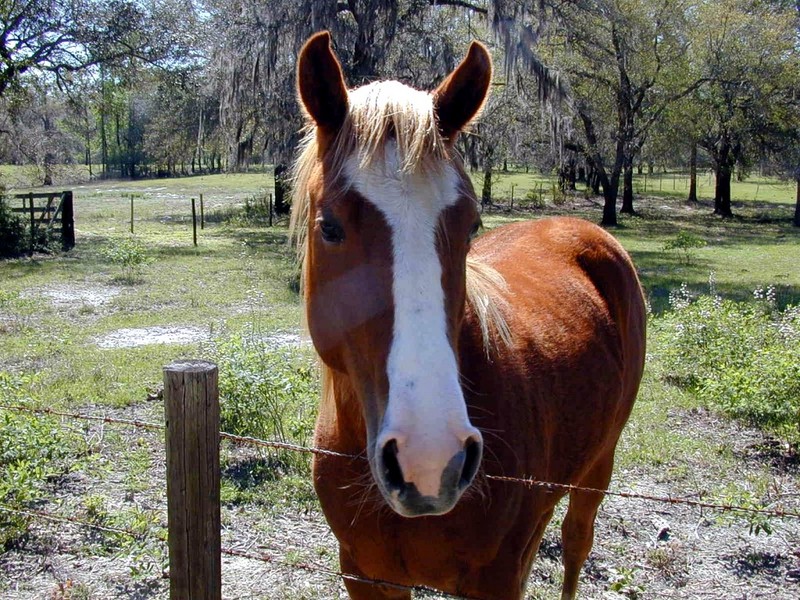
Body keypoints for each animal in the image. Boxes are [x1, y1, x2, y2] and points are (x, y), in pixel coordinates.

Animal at [290, 32, 648, 600]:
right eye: (329, 227)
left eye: (472, 223)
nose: (430, 460)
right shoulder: (363, 572)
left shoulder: (497, 577)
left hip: (598, 465)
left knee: (576, 543)